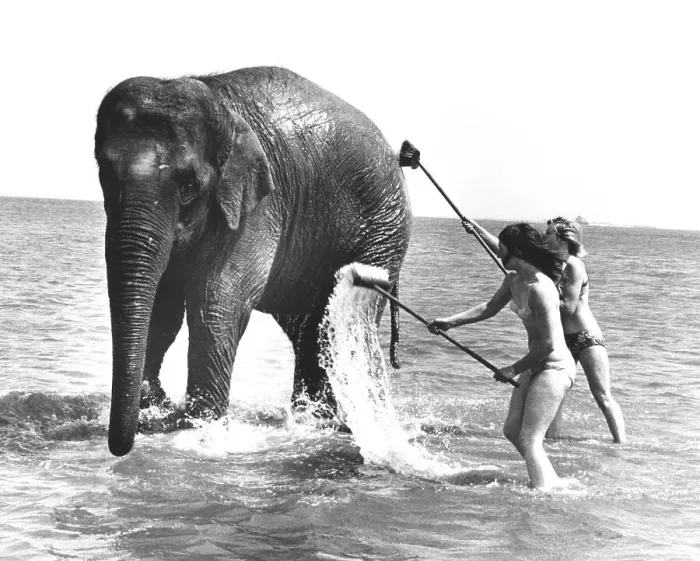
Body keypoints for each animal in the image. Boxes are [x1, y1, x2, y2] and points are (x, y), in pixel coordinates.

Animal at [94, 66, 412, 457]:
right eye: (104, 176)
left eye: (189, 186)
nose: (120, 446)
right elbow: (162, 305)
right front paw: (155, 412)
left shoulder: (258, 204)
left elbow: (218, 299)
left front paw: (201, 428)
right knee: (308, 334)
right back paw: (312, 419)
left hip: (384, 235)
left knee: (333, 330)